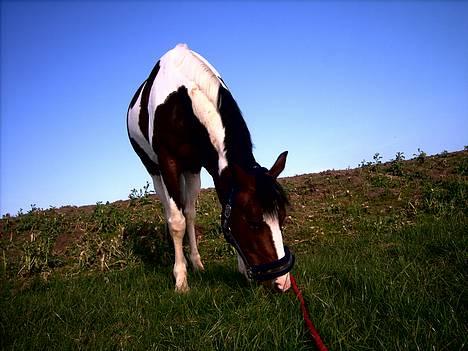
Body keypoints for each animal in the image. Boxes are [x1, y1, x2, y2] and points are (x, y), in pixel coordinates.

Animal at [126, 44, 294, 292]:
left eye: (281, 218)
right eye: (253, 222)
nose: (282, 282)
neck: (182, 98)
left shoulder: (205, 165)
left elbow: (207, 212)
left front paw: (241, 270)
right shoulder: (168, 162)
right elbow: (176, 222)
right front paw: (180, 279)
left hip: (189, 170)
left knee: (189, 213)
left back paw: (196, 263)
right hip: (155, 170)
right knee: (170, 211)